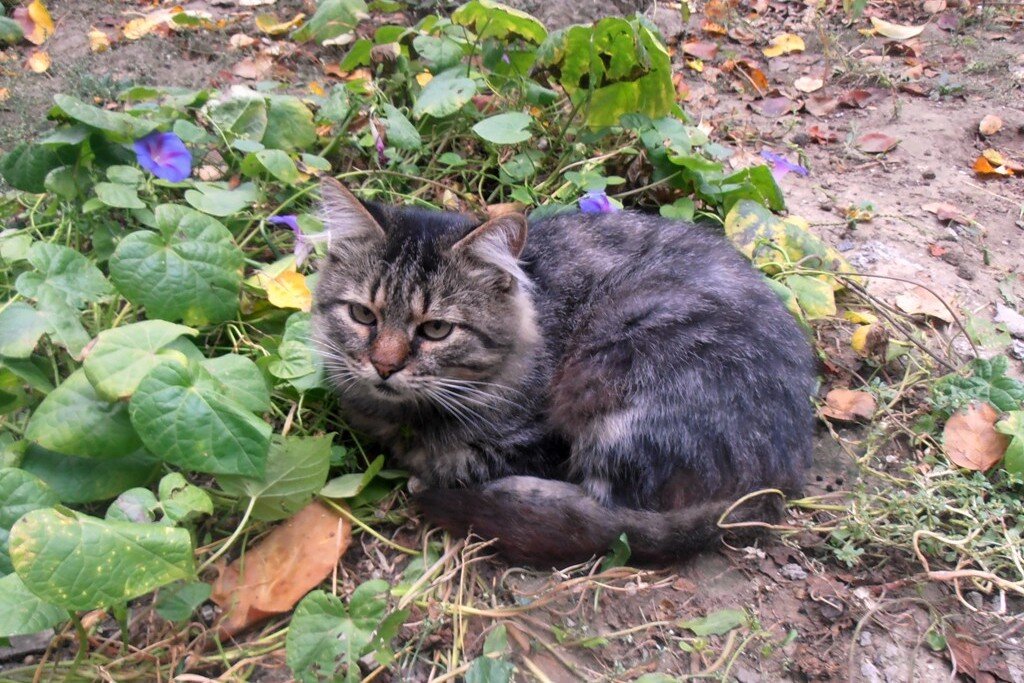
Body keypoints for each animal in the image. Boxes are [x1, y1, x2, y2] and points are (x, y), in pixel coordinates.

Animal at [307, 178, 811, 565]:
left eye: (435, 329)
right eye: (363, 315)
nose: (384, 365)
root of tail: (782, 473)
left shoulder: (540, 441)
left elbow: (459, 461)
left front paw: (428, 467)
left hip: (624, 372)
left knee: (608, 511)